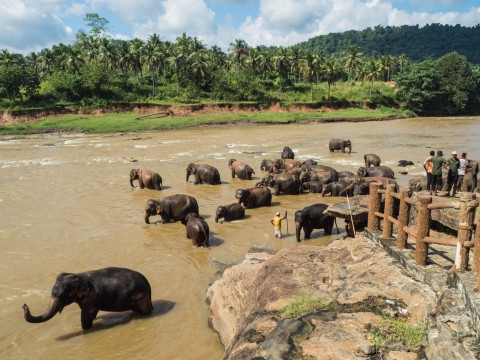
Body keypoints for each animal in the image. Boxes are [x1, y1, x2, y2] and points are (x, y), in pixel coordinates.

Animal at [22, 266, 152, 330]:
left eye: (61, 296)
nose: (24, 305)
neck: (78, 275)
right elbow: (92, 314)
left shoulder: (90, 298)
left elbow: (87, 315)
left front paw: (85, 329)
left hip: (141, 298)